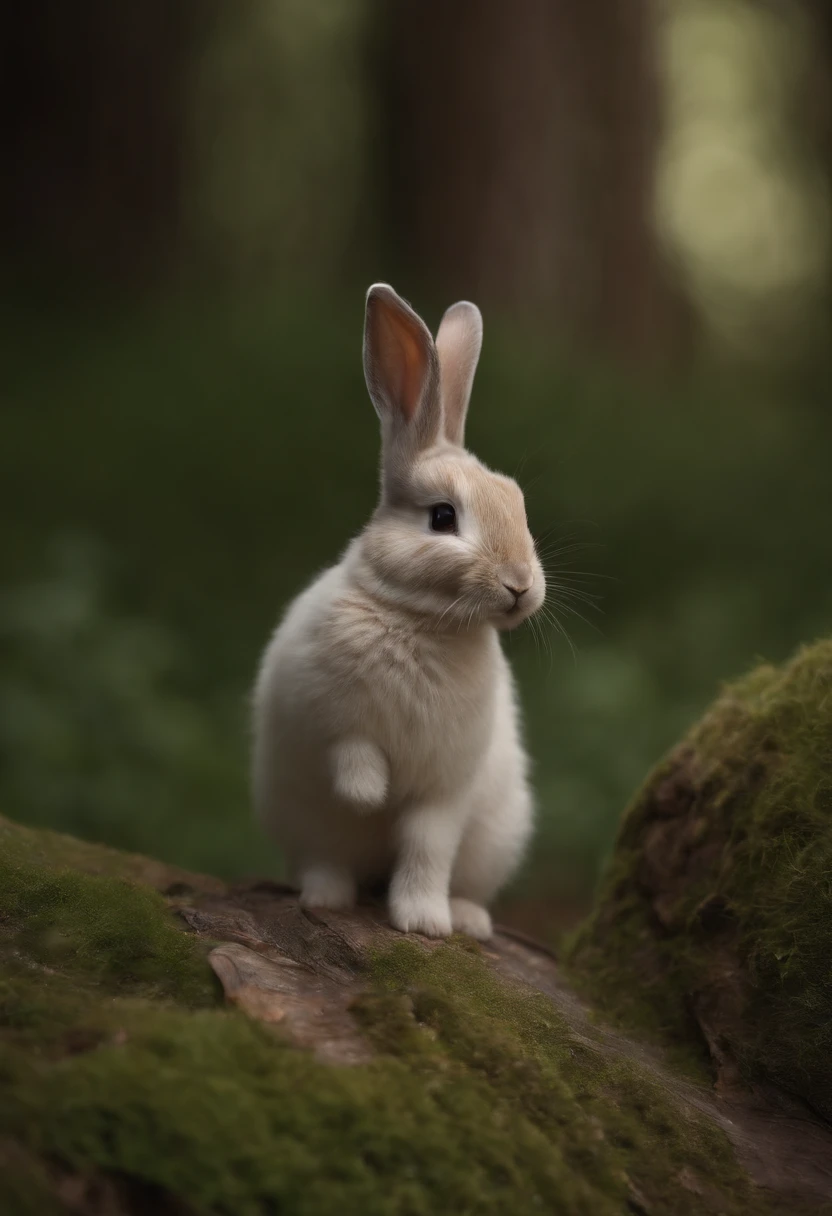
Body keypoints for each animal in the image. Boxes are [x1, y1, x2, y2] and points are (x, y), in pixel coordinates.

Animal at [248, 282, 544, 938]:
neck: (422, 621)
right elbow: (353, 757)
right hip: (303, 820)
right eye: (442, 517)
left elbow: (425, 848)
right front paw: (370, 796)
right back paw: (325, 897)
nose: (520, 585)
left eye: (517, 502)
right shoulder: (330, 715)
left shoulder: (444, 788)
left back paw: (468, 919)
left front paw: (425, 923)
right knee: (325, 857)